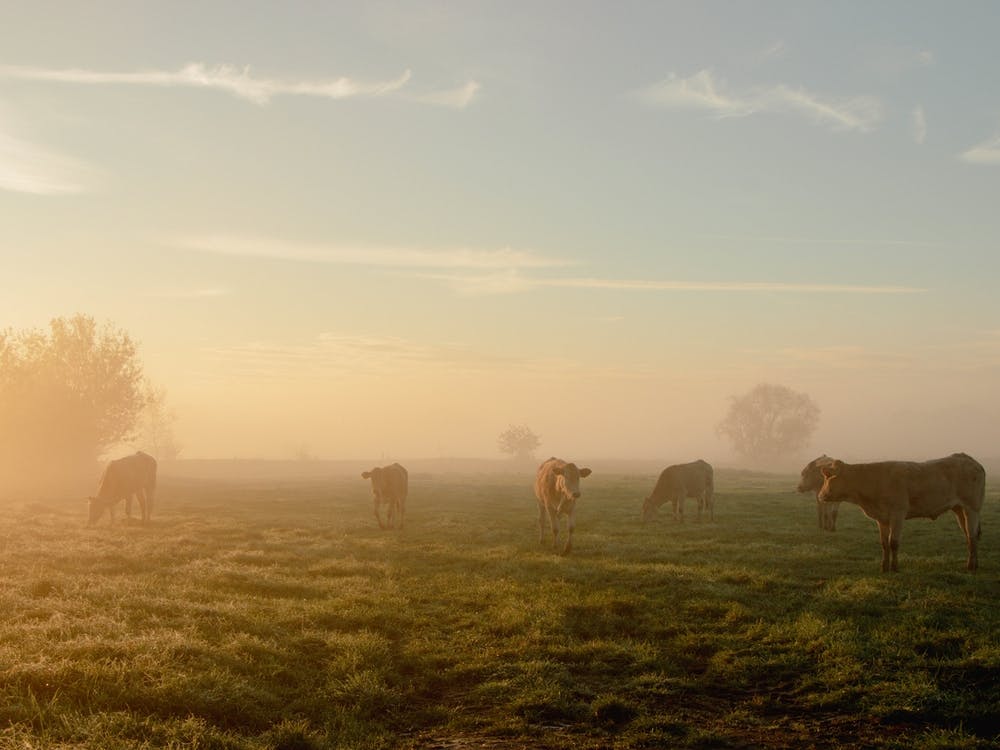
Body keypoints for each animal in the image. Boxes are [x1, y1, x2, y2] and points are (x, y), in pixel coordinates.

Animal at [817, 453, 985, 572]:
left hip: (972, 508)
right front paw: (884, 567)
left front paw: (895, 567)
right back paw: (975, 564)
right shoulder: (882, 518)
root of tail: (968, 459)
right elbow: (884, 543)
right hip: (959, 509)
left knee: (971, 536)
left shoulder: (898, 514)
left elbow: (893, 542)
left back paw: (971, 566)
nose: (820, 495)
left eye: (827, 477)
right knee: (970, 536)